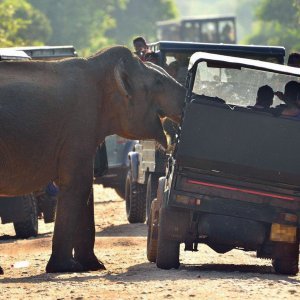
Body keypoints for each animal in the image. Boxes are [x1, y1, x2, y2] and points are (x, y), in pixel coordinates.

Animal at [0, 45, 185, 274]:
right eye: (158, 82)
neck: (96, 67)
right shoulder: (79, 125)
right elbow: (78, 183)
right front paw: (66, 268)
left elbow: (85, 186)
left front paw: (93, 266)